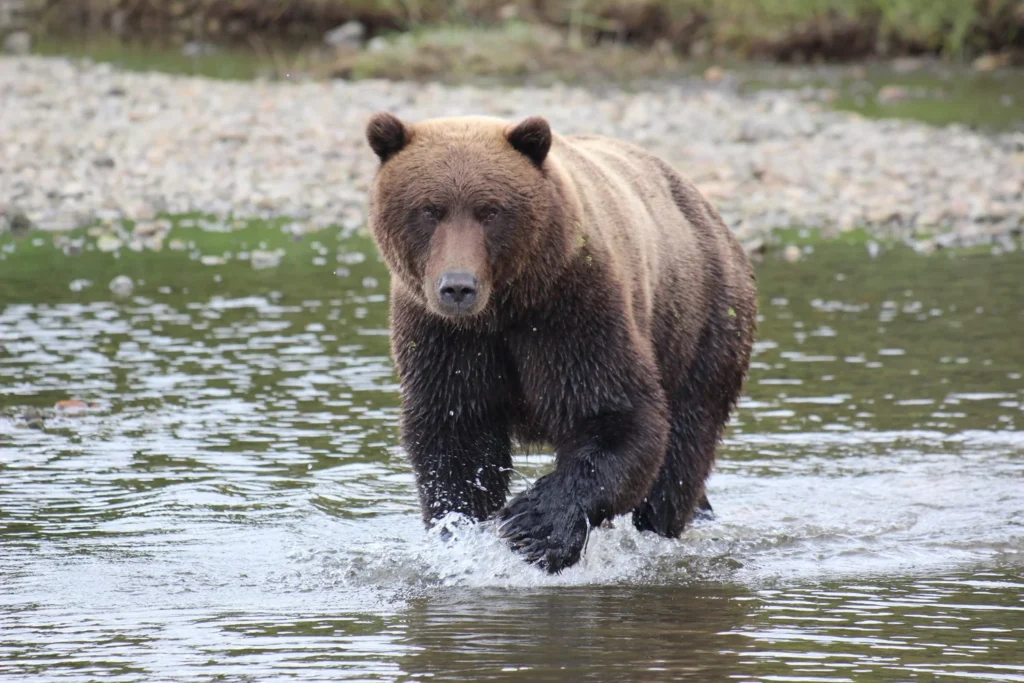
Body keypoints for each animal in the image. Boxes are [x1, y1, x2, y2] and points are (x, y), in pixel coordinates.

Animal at [365, 112, 757, 574]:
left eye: (490, 210)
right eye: (429, 209)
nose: (457, 286)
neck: (503, 310)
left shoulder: (572, 310)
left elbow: (618, 416)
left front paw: (535, 526)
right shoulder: (443, 337)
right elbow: (455, 436)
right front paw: (460, 532)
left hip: (701, 327)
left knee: (682, 452)